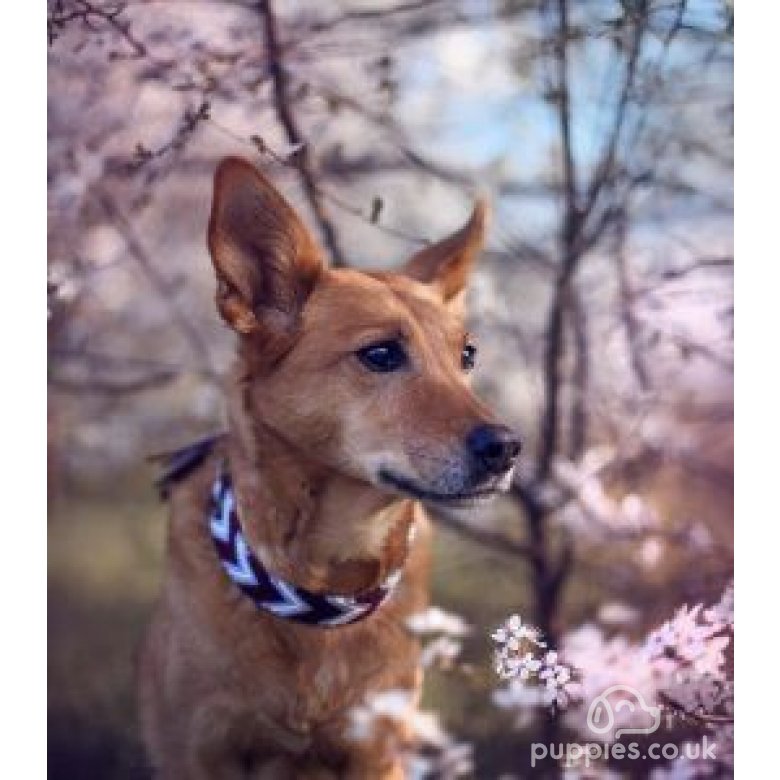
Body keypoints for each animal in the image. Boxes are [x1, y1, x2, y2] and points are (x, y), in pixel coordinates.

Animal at [138, 155, 520, 776]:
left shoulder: (375, 748)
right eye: (381, 354)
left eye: (467, 355)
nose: (508, 448)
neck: (320, 583)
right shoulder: (201, 753)